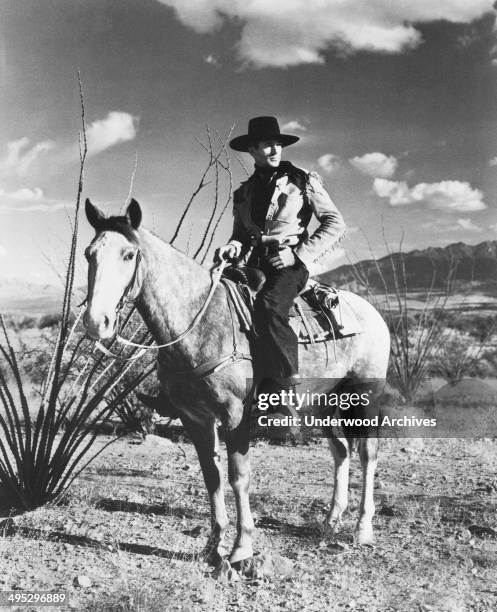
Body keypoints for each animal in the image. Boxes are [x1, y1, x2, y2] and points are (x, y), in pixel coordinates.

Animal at [83, 201, 390, 568]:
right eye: (88, 254)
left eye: (129, 254)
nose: (96, 322)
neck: (197, 320)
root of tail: (373, 313)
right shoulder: (194, 418)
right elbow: (211, 476)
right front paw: (212, 545)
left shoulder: (234, 414)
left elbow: (238, 476)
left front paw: (242, 547)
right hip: (324, 403)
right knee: (341, 451)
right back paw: (331, 520)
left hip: (364, 396)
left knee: (367, 454)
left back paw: (363, 529)